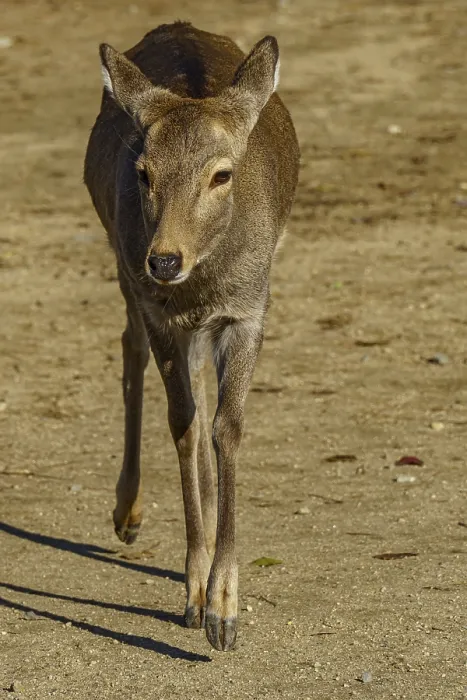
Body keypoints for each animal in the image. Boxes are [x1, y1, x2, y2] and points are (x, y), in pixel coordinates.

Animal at [84, 21, 299, 651]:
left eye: (221, 174)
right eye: (144, 172)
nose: (164, 259)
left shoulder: (248, 310)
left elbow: (226, 427)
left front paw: (224, 610)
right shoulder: (160, 311)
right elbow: (182, 423)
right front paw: (197, 594)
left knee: (200, 394)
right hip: (125, 269)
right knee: (132, 347)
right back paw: (127, 514)